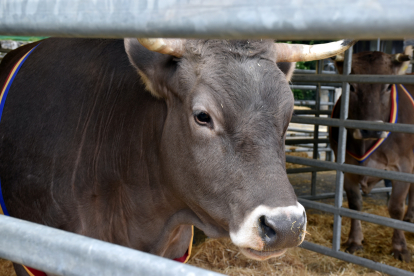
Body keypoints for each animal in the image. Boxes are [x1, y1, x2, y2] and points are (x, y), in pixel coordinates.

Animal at [334, 52, 414, 264]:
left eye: (388, 86)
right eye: (352, 87)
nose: (370, 129)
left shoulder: (403, 167)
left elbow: (396, 207)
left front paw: (400, 247)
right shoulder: (347, 167)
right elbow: (355, 204)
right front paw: (355, 241)